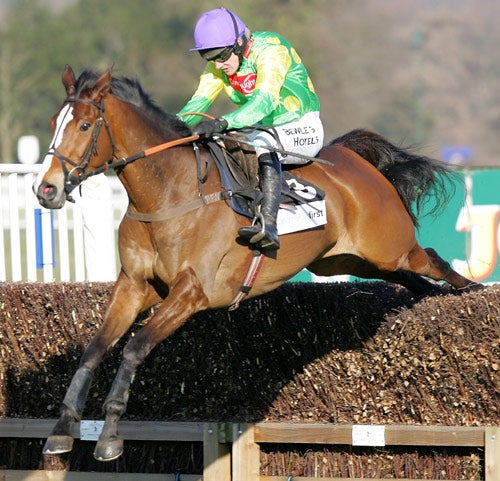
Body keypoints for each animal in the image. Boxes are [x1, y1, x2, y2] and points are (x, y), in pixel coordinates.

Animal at [32, 65, 476, 460]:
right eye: (53, 122)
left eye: (84, 126)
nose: (46, 189)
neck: (169, 193)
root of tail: (355, 160)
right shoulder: (135, 286)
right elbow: (94, 350)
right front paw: (62, 430)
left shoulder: (192, 292)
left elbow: (134, 348)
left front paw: (109, 437)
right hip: (347, 260)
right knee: (411, 279)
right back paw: (432, 299)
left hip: (388, 246)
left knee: (432, 260)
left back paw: (471, 292)